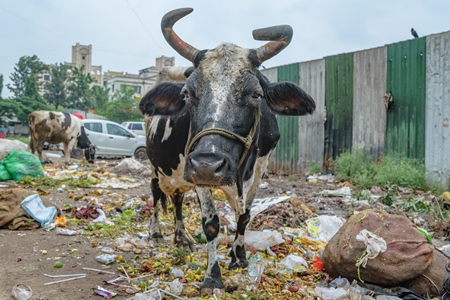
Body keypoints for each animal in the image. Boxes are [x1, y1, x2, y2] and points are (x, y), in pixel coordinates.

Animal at [139, 8, 314, 290]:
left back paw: (182, 236)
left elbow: (245, 216)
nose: (208, 165)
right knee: (156, 192)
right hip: (158, 165)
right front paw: (212, 275)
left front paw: (239, 256)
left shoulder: (260, 168)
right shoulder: (197, 169)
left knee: (177, 198)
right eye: (187, 94)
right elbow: (211, 223)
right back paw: (156, 233)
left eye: (256, 94)